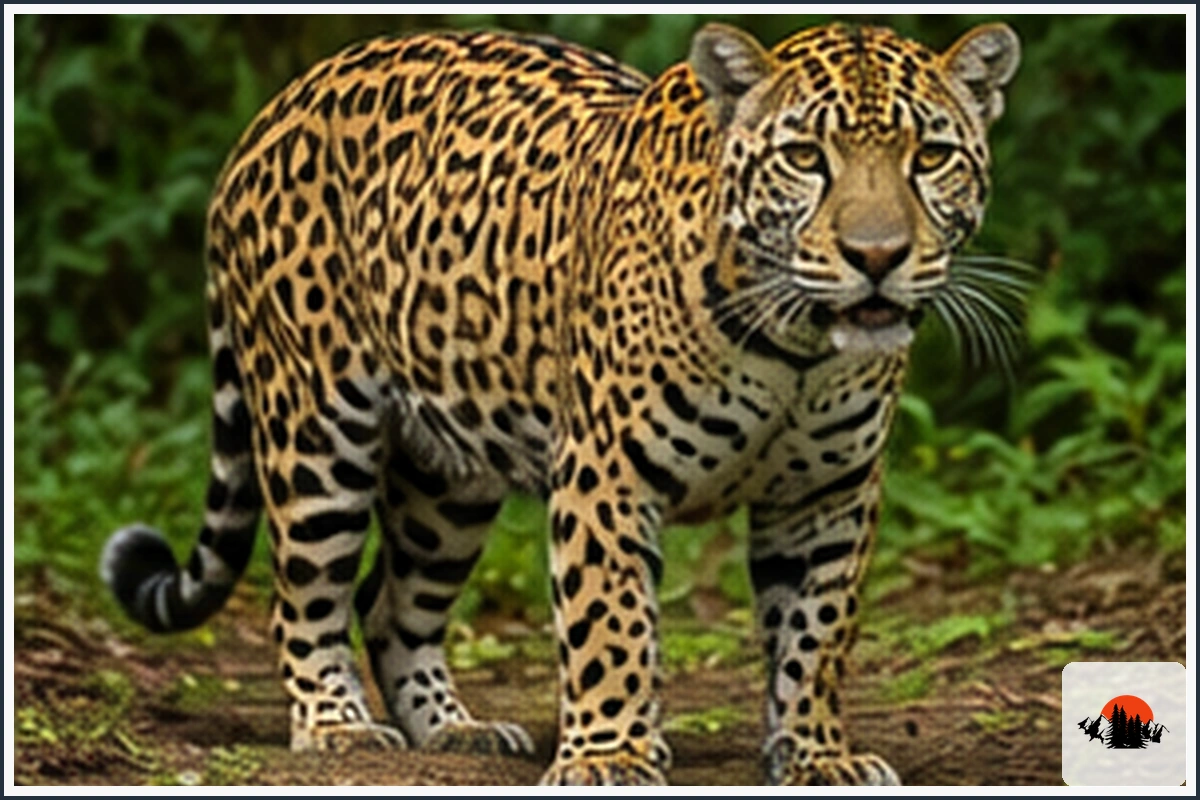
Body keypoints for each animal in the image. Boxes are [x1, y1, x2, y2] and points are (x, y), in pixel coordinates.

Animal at [101, 20, 1021, 785]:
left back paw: (456, 729)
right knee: (305, 598)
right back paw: (338, 727)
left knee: (391, 605)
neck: (795, 346)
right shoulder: (607, 474)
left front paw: (816, 755)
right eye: (804, 157)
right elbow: (609, 622)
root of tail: (274, 109)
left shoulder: (829, 494)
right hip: (316, 432)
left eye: (930, 157)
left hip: (447, 479)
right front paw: (609, 757)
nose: (878, 257)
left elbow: (817, 634)